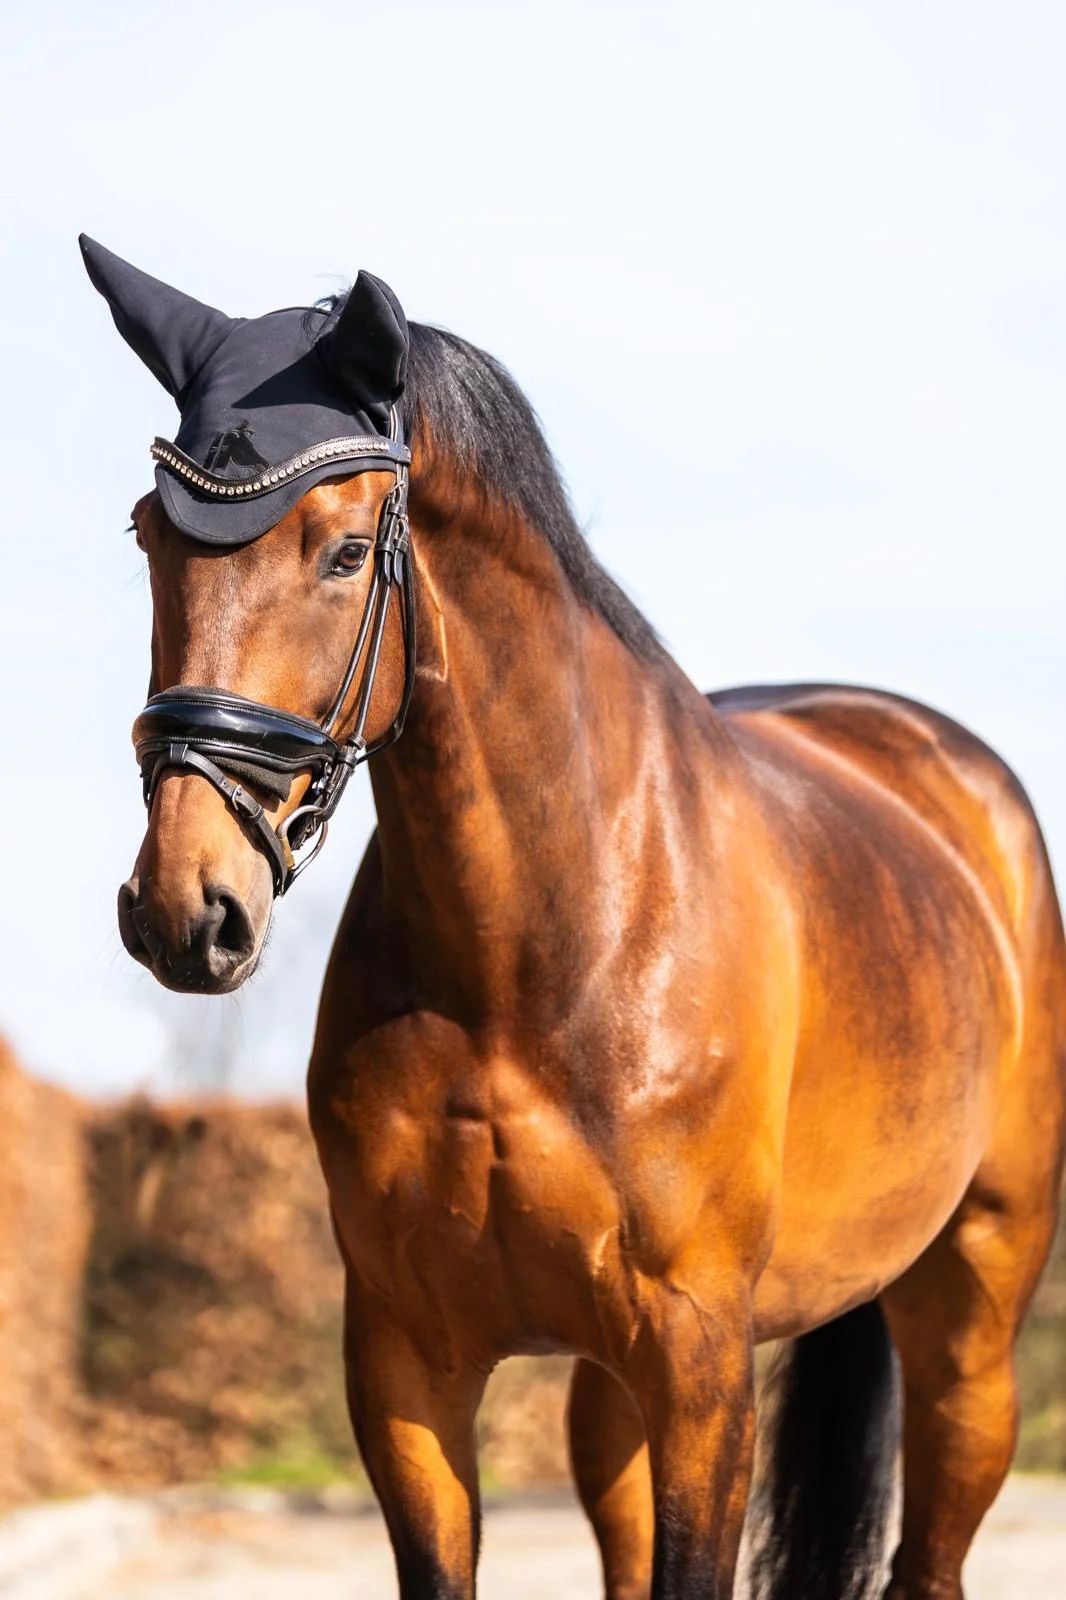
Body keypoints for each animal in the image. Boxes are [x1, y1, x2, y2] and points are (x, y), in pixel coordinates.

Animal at [105, 268, 1064, 1599]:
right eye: (150, 533)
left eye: (345, 551)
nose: (185, 908)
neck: (540, 950)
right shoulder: (406, 1364)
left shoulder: (701, 1365)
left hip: (970, 1310)